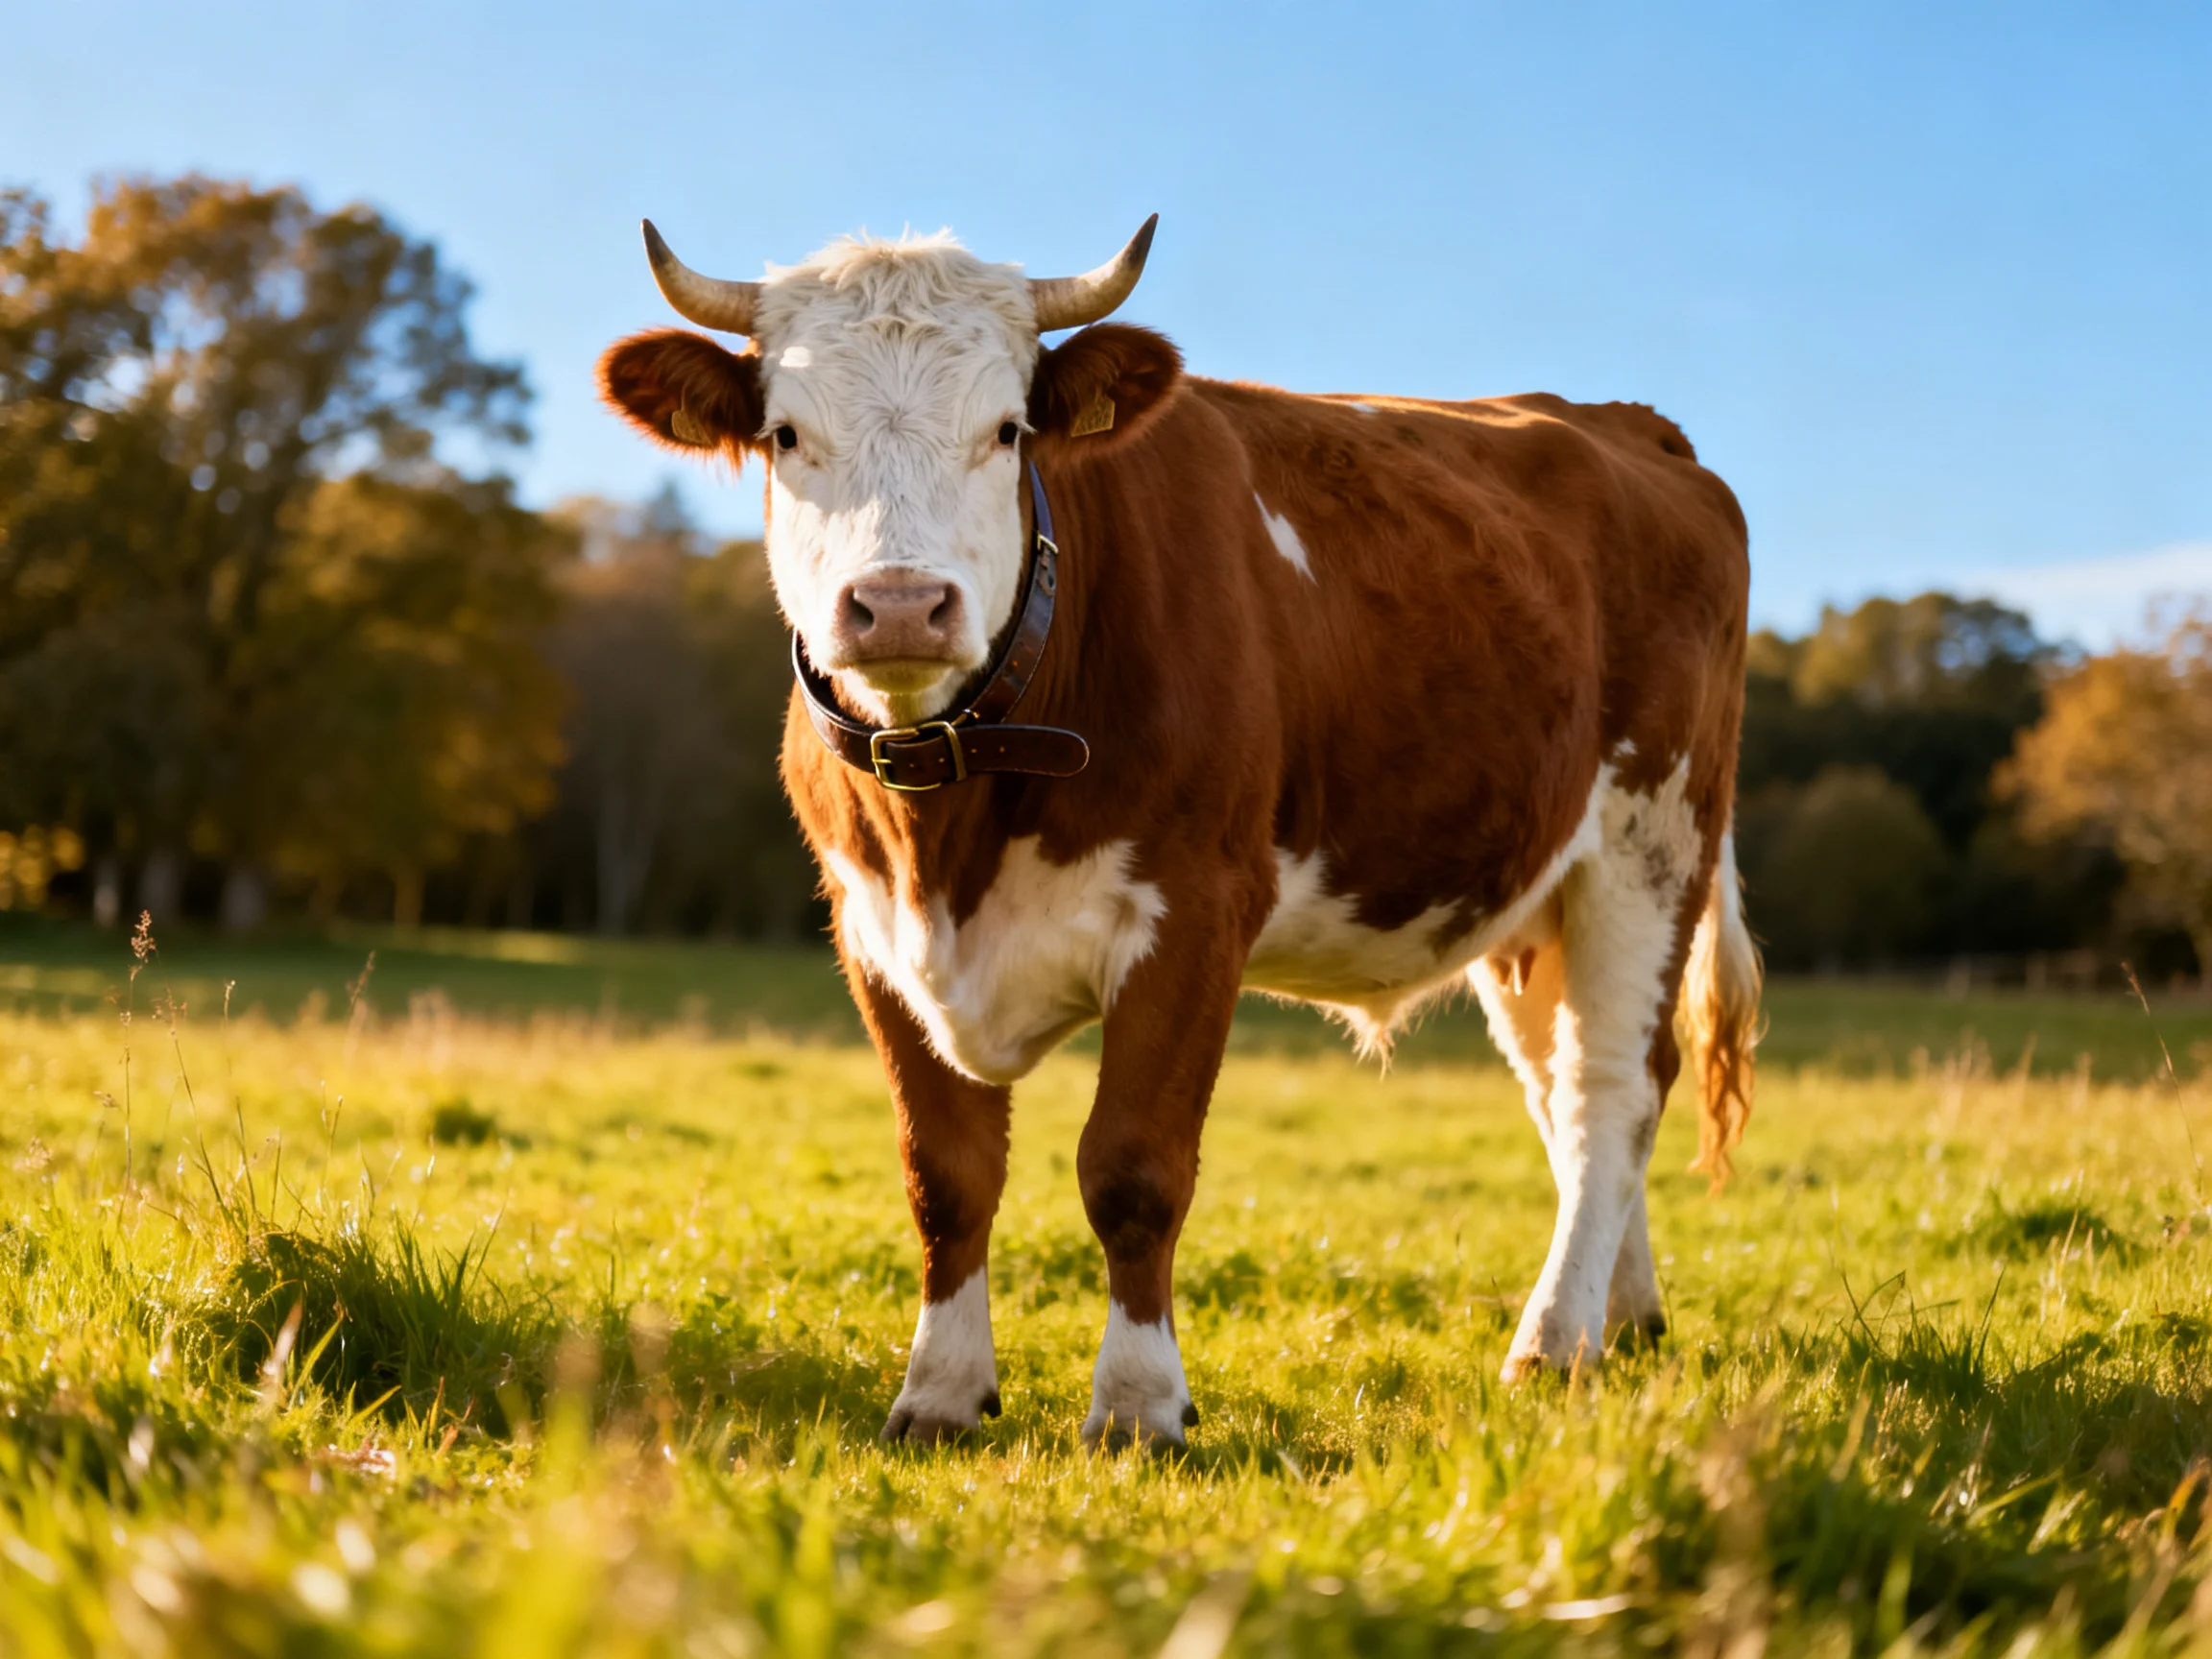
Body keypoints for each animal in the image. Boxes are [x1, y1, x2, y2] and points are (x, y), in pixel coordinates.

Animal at [597, 216, 1762, 1449]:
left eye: (1007, 430)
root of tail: (1629, 425)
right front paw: (941, 1393)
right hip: (1531, 892)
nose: (902, 604)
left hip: (1651, 845)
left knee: (1615, 1084)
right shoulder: (871, 931)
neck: (952, 827)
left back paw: (1552, 1341)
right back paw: (1621, 1317)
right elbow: (945, 1174)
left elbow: (1133, 1169)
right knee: (1562, 1087)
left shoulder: (1198, 912)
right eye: (785, 434)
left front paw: (1139, 1404)